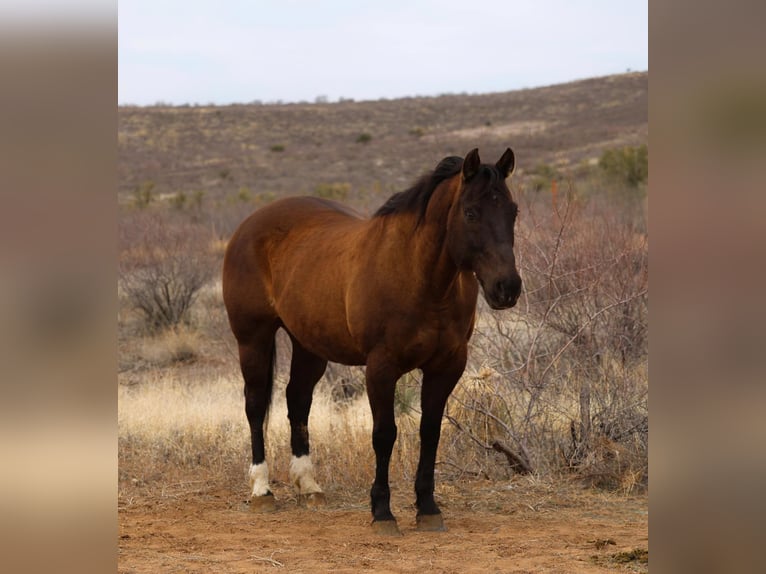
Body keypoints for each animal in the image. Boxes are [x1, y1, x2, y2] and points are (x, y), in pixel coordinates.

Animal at [222, 148, 522, 535]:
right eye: (471, 212)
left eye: (512, 211)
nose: (507, 287)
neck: (419, 275)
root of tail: (250, 224)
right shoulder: (381, 366)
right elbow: (384, 434)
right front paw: (382, 511)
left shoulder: (446, 366)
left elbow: (429, 433)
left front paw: (427, 508)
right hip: (252, 338)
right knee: (256, 405)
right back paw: (262, 490)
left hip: (309, 346)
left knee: (297, 401)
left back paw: (309, 486)